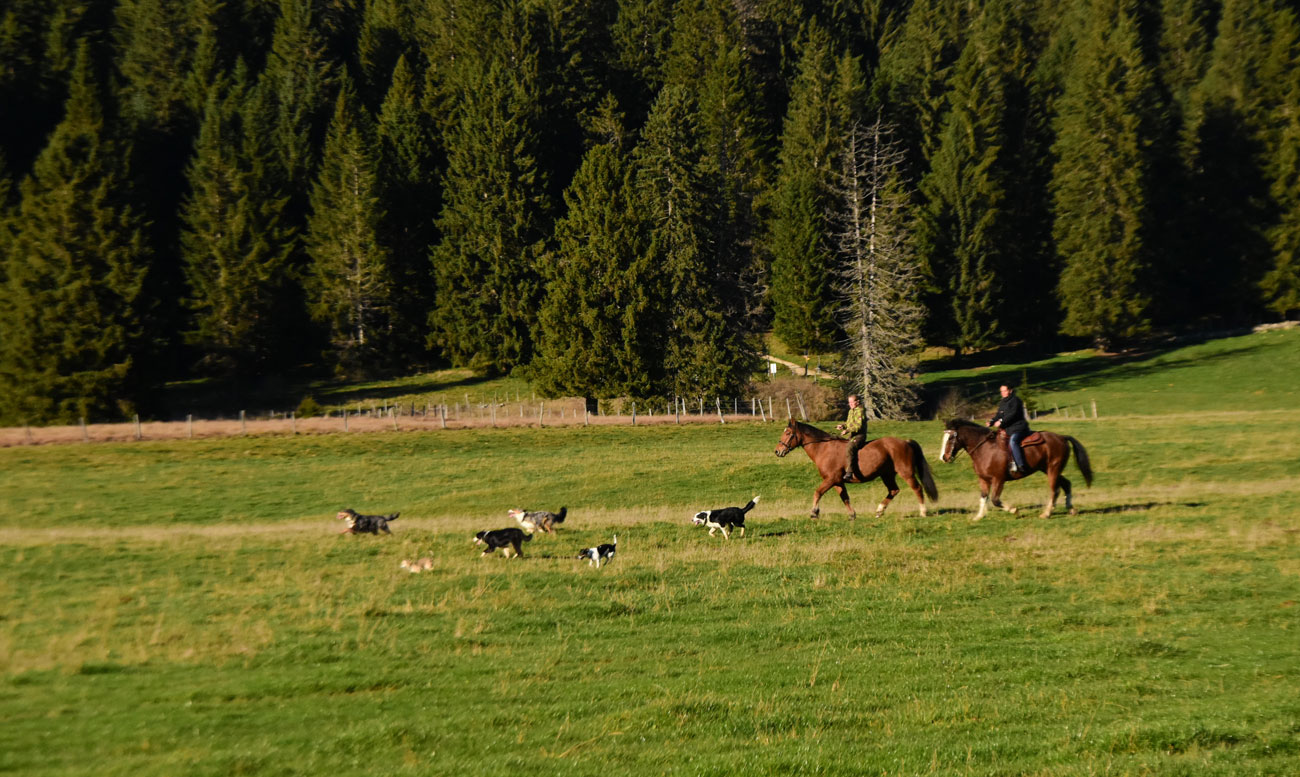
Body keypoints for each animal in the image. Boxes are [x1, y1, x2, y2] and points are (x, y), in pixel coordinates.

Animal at [769, 423, 935, 519]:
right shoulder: (837, 482)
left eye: (788, 433)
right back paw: (879, 511)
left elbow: (818, 492)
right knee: (894, 490)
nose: (777, 451)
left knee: (917, 488)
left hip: (906, 473)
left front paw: (814, 512)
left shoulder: (831, 479)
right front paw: (852, 515)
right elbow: (845, 498)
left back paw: (923, 512)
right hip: (886, 475)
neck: (823, 448)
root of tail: (905, 442)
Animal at [941, 420, 1092, 524]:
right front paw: (979, 516)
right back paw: (1071, 509)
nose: (944, 458)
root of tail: (1062, 437)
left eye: (950, 438)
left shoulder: (998, 479)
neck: (985, 449)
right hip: (1048, 469)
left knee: (1055, 490)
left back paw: (1046, 513)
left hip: (1053, 469)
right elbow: (983, 498)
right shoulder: (983, 480)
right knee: (1066, 484)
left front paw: (1014, 510)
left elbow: (995, 500)